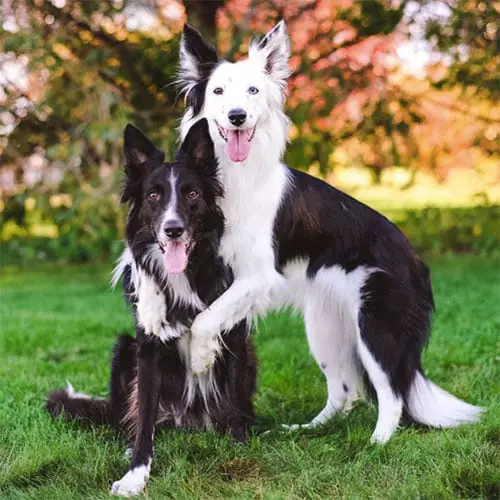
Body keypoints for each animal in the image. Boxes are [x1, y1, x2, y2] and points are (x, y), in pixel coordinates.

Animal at [45, 118, 256, 496]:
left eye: (192, 194)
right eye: (153, 195)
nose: (173, 230)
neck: (185, 274)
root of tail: (184, 420)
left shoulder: (234, 336)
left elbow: (235, 403)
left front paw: (240, 447)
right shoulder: (146, 349)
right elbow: (144, 417)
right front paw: (136, 472)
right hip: (123, 349)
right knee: (127, 418)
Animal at [175, 21, 480, 444]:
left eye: (253, 91)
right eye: (218, 92)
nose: (237, 117)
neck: (233, 177)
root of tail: (415, 257)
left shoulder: (257, 275)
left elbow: (205, 320)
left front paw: (201, 358)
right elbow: (207, 317)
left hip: (375, 327)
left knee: (391, 393)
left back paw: (376, 444)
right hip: (325, 329)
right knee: (345, 390)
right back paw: (309, 429)